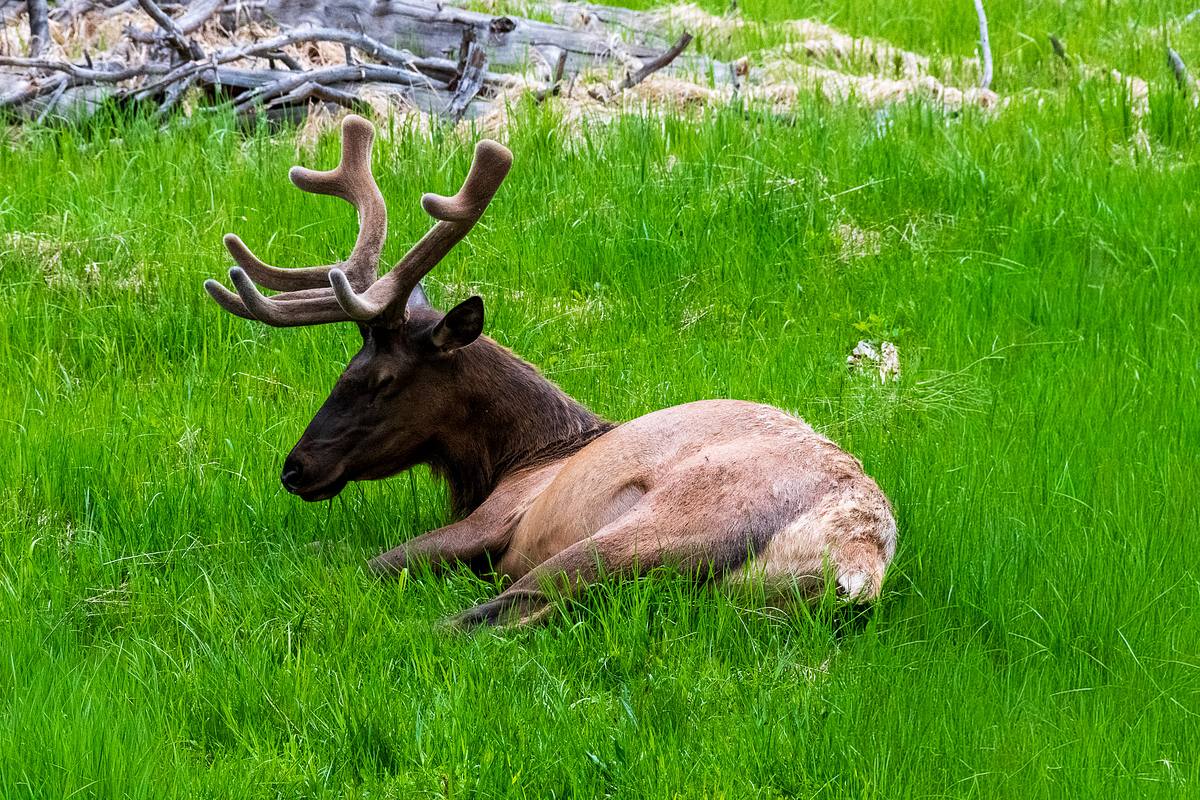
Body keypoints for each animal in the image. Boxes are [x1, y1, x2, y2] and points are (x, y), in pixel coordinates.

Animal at [204, 115, 897, 627]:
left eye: (378, 381)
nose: (296, 468)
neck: (516, 457)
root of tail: (856, 557)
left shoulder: (496, 518)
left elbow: (369, 562)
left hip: (655, 527)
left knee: (503, 611)